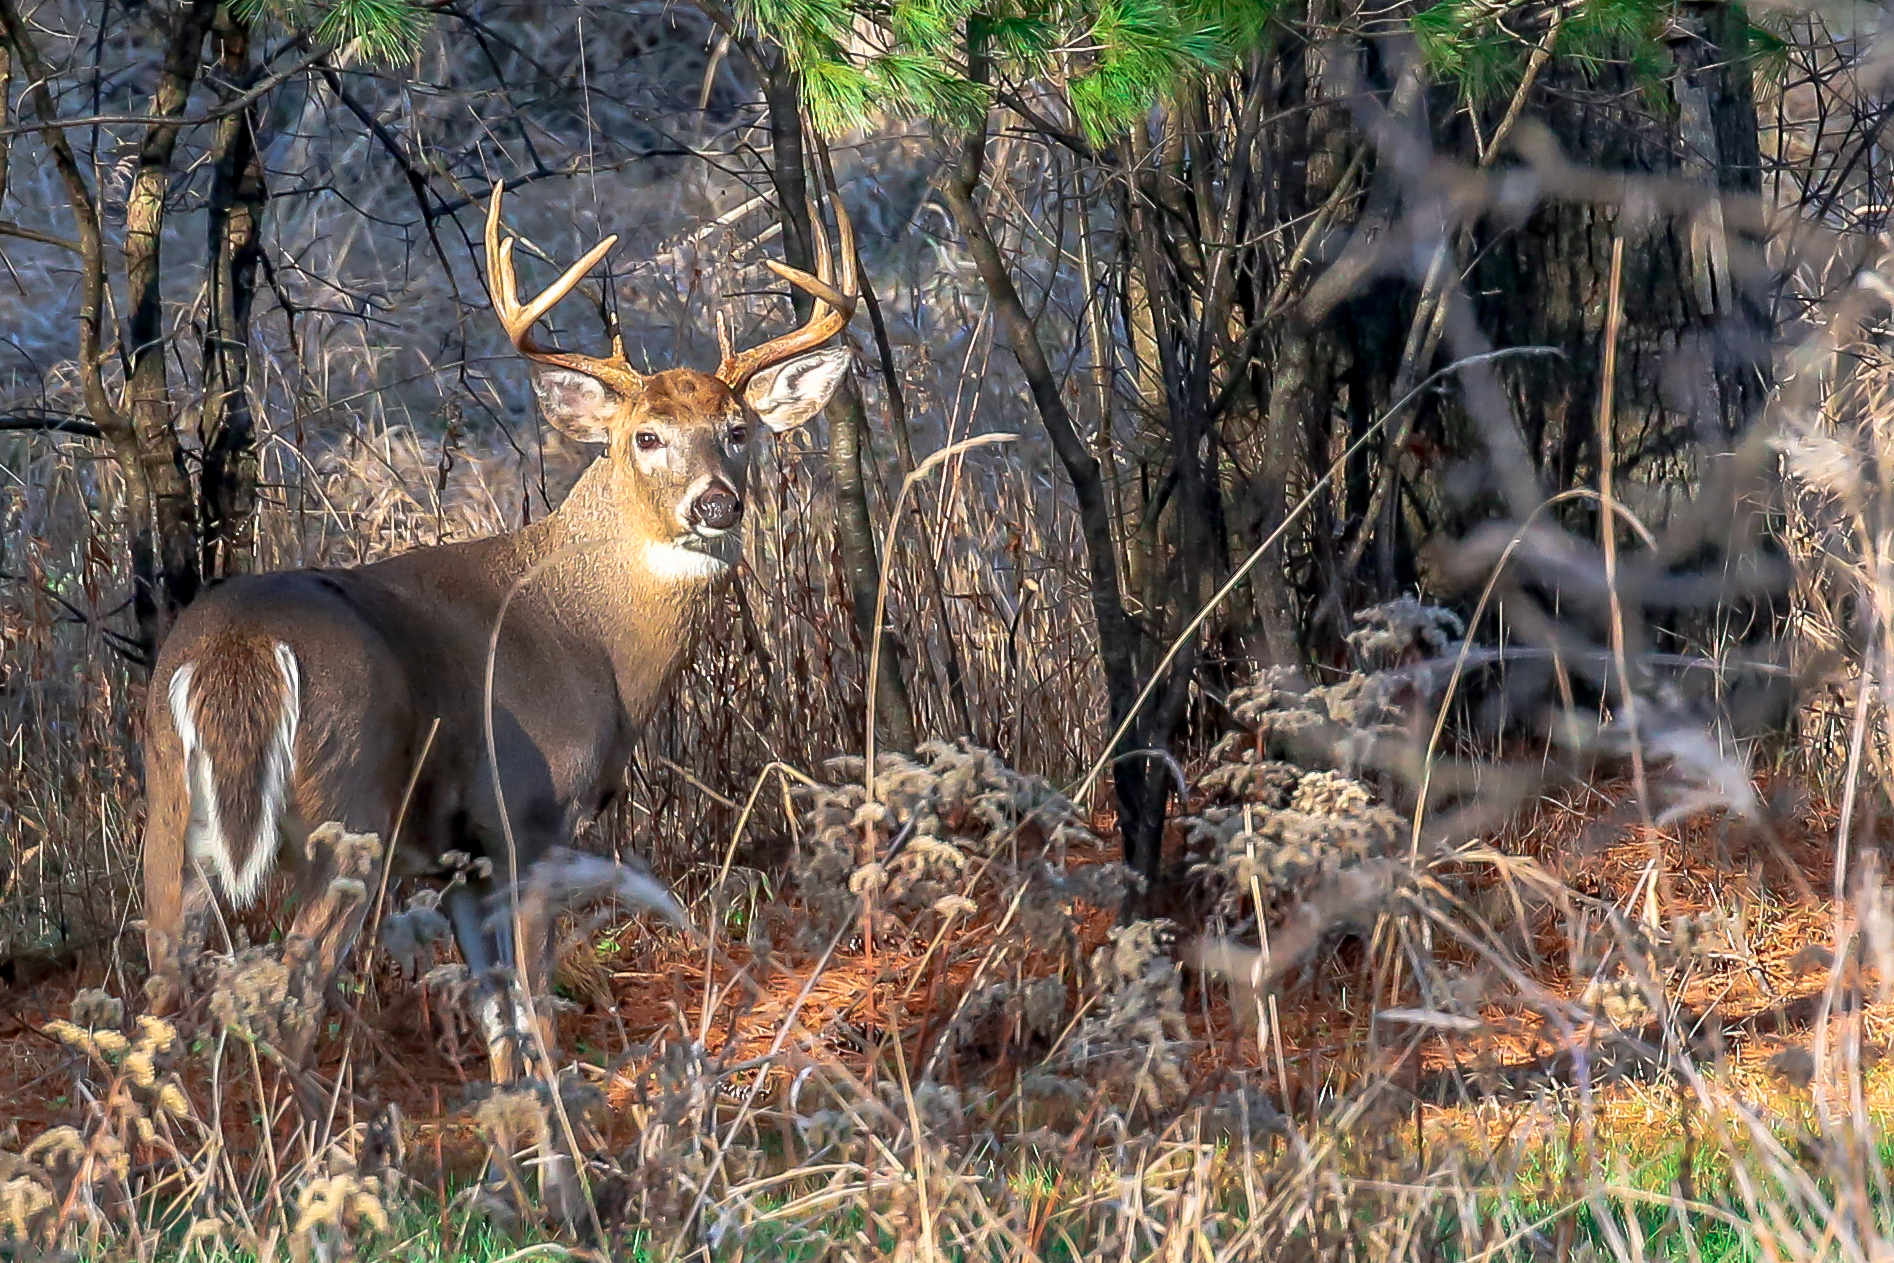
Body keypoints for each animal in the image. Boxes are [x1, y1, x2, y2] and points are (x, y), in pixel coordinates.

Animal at [143, 182, 856, 1083]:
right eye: (645, 436)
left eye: (739, 429)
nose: (717, 503)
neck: (590, 635)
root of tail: (238, 650)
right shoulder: (527, 816)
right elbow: (537, 1011)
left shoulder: (461, 860)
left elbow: (497, 1018)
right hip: (350, 805)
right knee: (289, 996)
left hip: (168, 806)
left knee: (155, 999)